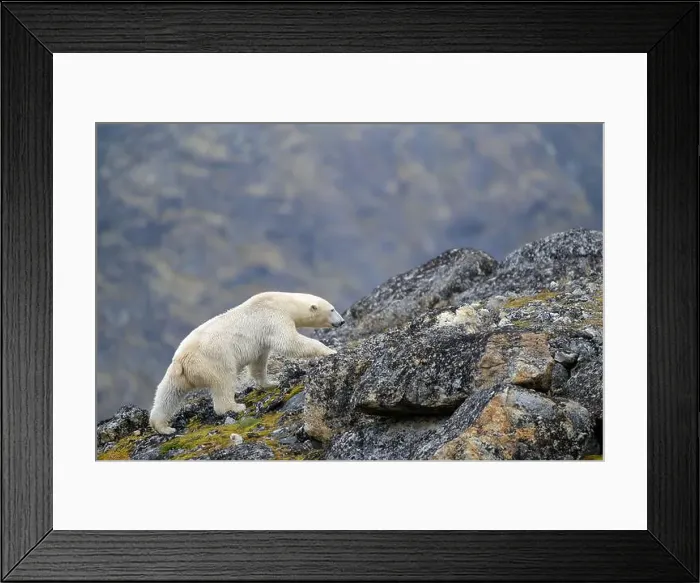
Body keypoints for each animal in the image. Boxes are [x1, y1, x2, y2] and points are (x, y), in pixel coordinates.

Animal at [148, 291, 345, 435]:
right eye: (332, 309)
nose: (342, 321)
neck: (282, 302)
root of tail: (183, 360)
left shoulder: (262, 339)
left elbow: (259, 361)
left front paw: (271, 382)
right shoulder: (274, 318)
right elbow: (289, 343)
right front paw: (330, 350)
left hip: (178, 374)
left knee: (168, 394)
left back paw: (164, 427)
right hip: (214, 361)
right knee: (224, 382)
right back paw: (235, 407)